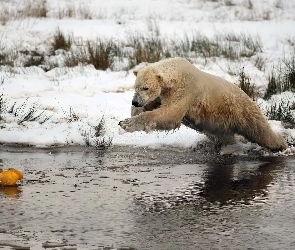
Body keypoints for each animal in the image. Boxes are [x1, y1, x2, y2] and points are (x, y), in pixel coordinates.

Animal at [119, 57, 288, 150]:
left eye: (146, 87)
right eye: (136, 87)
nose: (135, 102)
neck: (175, 75)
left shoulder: (186, 90)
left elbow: (170, 114)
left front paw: (126, 124)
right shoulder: (163, 94)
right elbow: (154, 105)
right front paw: (133, 113)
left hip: (241, 110)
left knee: (259, 130)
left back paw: (280, 145)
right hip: (221, 122)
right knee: (225, 136)